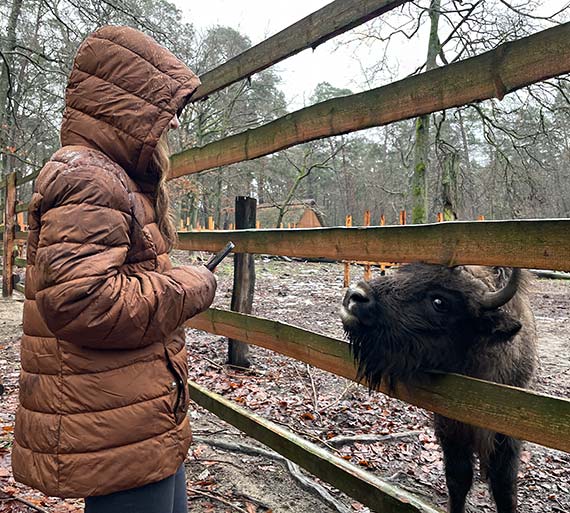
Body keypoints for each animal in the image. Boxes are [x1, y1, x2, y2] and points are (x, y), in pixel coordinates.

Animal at [340, 264, 536, 512]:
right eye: (405, 269)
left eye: (439, 302)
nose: (355, 296)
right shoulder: (450, 427)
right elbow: (458, 479)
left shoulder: (509, 435)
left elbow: (504, 488)